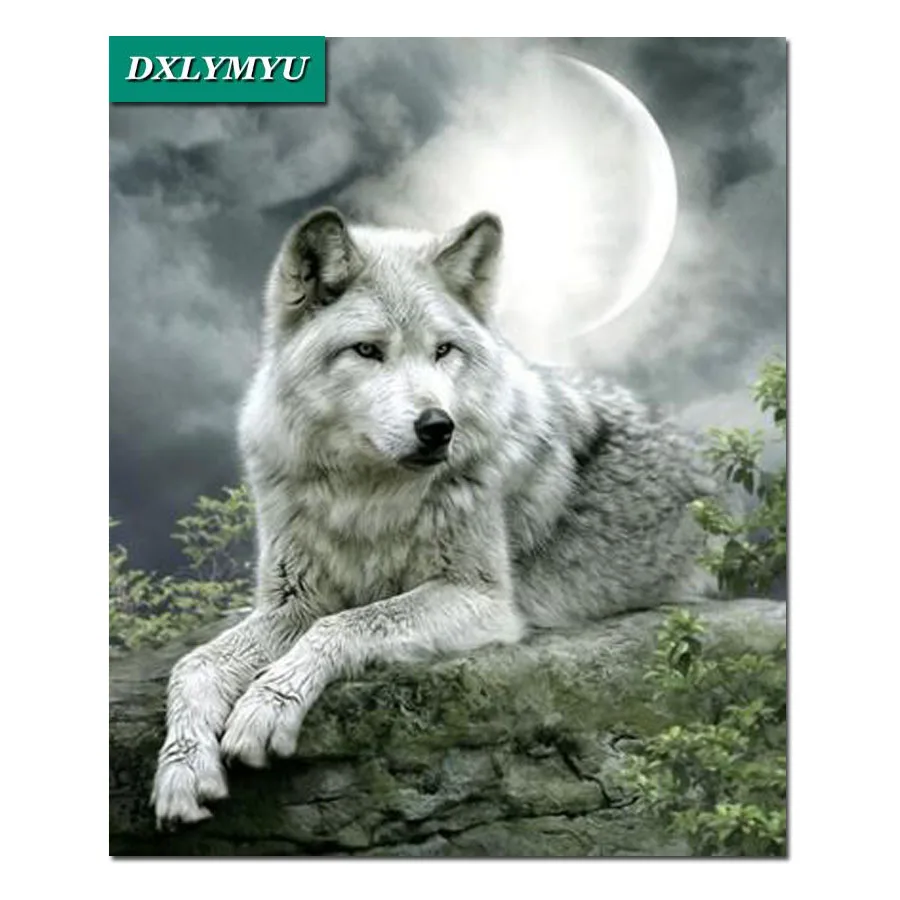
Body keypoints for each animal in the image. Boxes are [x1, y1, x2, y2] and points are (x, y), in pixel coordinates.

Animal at [151, 207, 717, 827]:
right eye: (368, 351)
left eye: (444, 350)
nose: (438, 426)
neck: (365, 498)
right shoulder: (292, 602)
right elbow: (193, 664)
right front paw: (182, 770)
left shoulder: (481, 599)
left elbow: (347, 624)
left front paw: (265, 705)